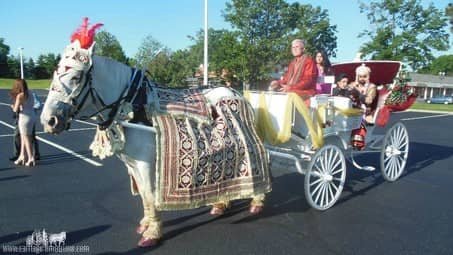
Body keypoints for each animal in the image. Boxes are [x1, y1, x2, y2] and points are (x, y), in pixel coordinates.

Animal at [40, 39, 266, 247]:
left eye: (76, 77)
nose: (49, 120)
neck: (131, 105)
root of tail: (236, 92)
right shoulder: (133, 164)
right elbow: (143, 195)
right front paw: (146, 223)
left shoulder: (145, 164)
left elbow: (149, 195)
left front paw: (152, 233)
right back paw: (221, 202)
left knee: (258, 155)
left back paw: (257, 201)